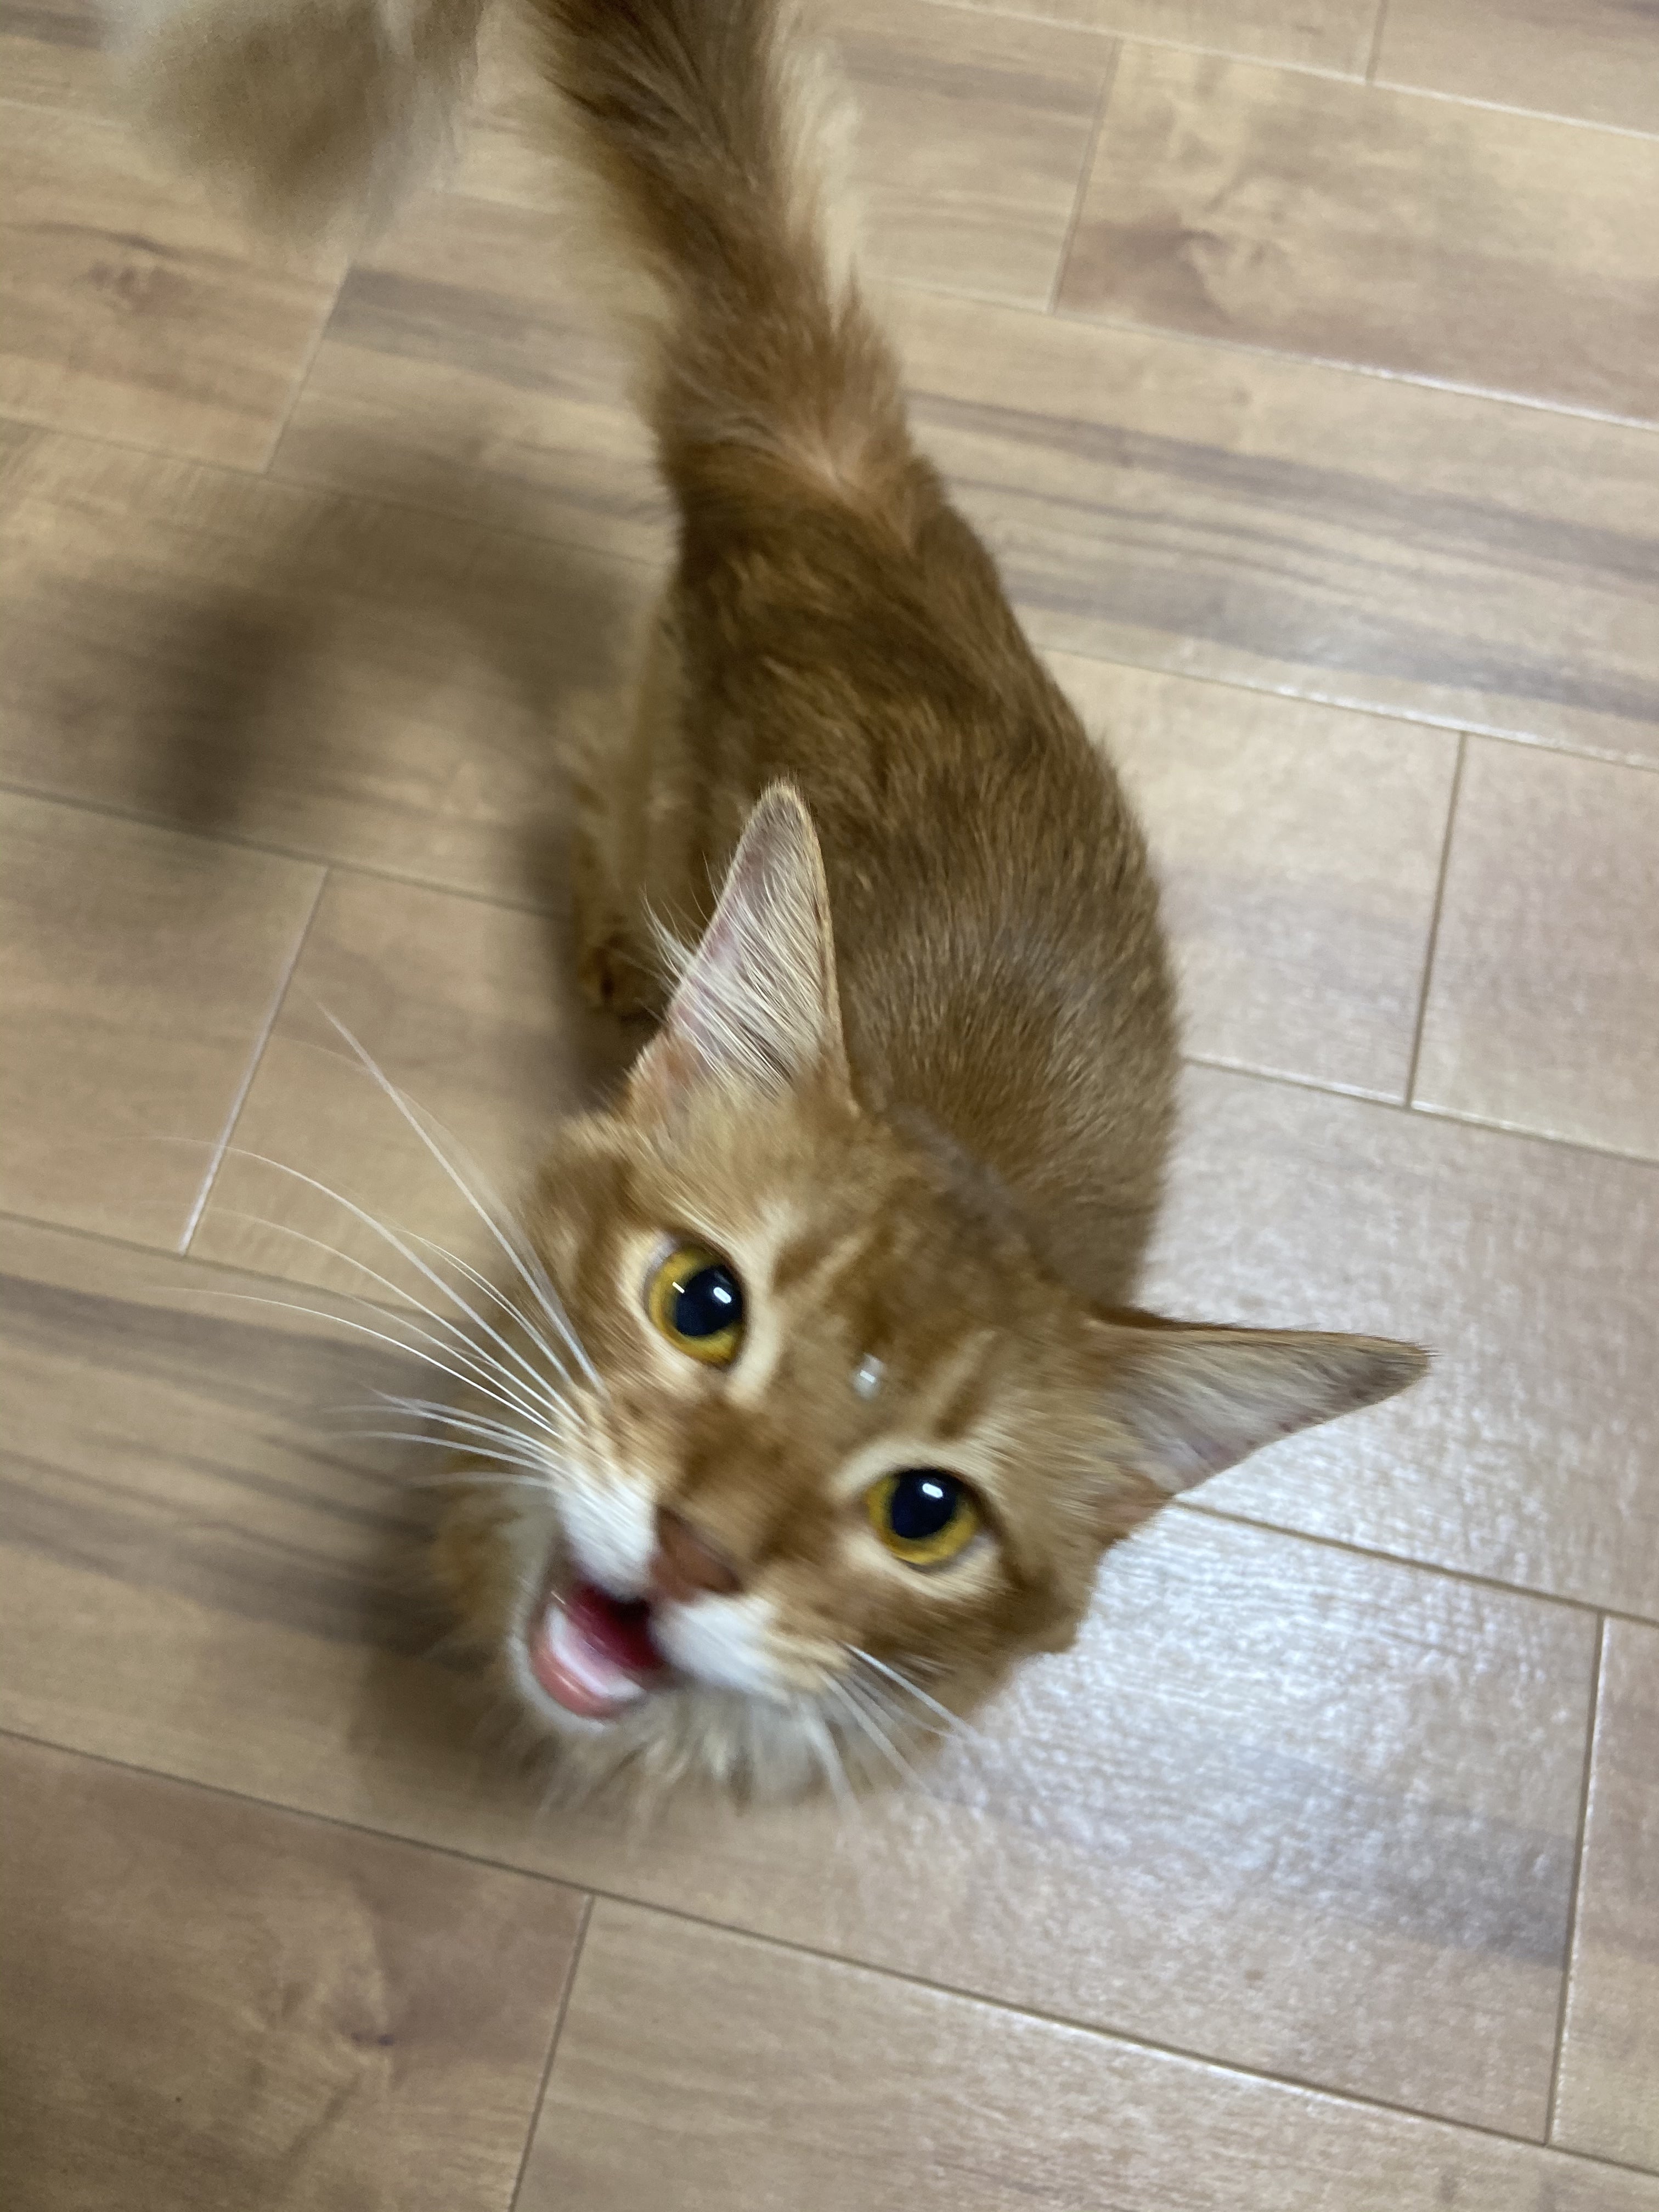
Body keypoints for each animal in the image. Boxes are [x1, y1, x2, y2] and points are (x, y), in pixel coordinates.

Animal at [124, 0, 1427, 1799]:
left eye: (927, 1514)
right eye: (702, 1305)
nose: (692, 1557)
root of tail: (834, 477)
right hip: (666, 759)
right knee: (591, 772)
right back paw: (619, 954)